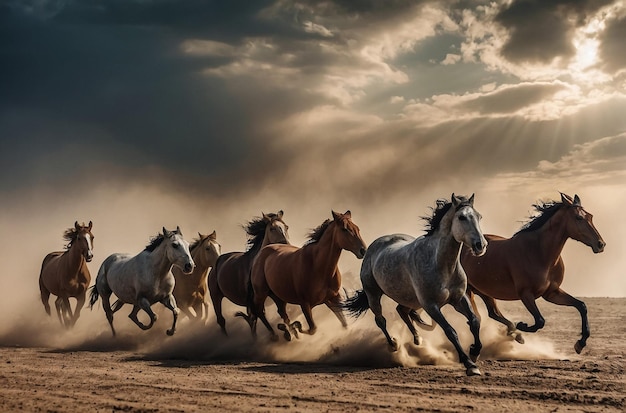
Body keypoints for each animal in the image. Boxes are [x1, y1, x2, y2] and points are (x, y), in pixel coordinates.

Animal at [249, 211, 366, 340]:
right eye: (344, 229)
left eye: (357, 228)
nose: (363, 250)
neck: (318, 266)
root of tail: (262, 251)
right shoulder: (304, 304)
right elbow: (313, 329)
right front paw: (296, 327)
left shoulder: (334, 298)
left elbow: (344, 323)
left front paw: (293, 329)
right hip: (260, 293)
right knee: (259, 311)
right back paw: (275, 334)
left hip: (278, 295)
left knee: (281, 312)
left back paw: (287, 331)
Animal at [344, 195, 486, 374]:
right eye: (461, 217)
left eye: (479, 216)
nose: (481, 245)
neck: (440, 263)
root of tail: (372, 247)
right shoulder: (430, 305)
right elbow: (450, 331)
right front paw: (469, 364)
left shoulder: (458, 299)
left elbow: (474, 321)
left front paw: (475, 351)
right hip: (374, 294)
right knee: (381, 320)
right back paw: (394, 344)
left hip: (410, 299)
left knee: (402, 311)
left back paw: (418, 339)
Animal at [460, 192, 604, 352]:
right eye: (579, 217)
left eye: (590, 216)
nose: (600, 244)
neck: (539, 252)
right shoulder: (526, 294)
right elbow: (540, 321)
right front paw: (522, 325)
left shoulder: (552, 293)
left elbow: (581, 306)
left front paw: (580, 343)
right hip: (468, 291)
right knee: (477, 318)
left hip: (484, 291)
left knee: (492, 313)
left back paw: (514, 334)